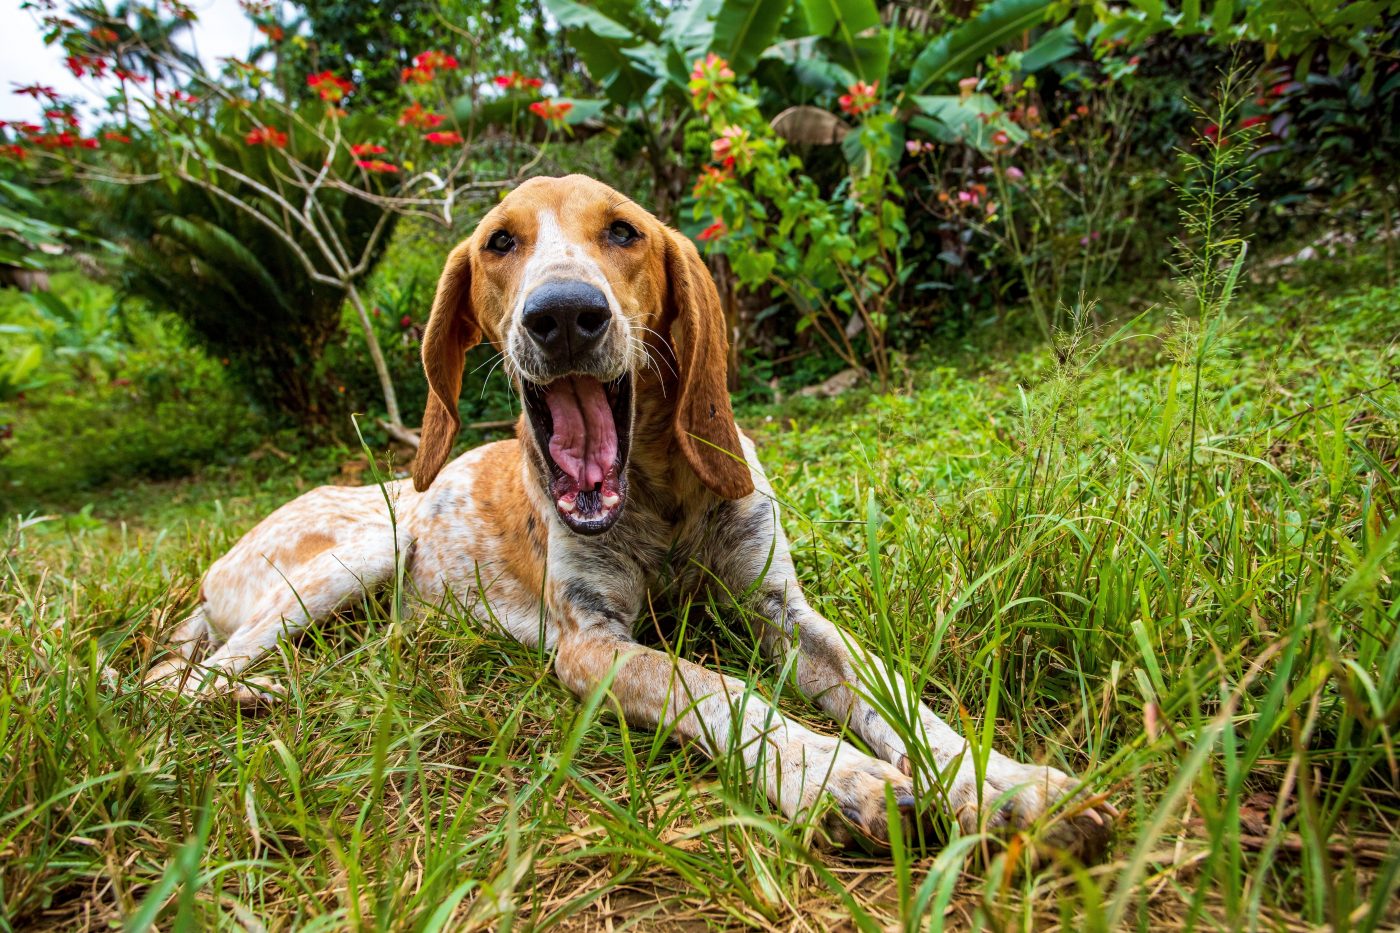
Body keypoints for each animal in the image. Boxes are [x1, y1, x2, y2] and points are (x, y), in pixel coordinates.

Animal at [150, 170, 1114, 851]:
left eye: (623, 231)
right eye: (500, 242)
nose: (564, 314)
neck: (658, 487)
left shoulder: (785, 611)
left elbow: (896, 690)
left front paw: (1003, 783)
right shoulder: (591, 643)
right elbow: (720, 688)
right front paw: (840, 778)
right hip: (368, 548)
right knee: (173, 677)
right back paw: (256, 694)